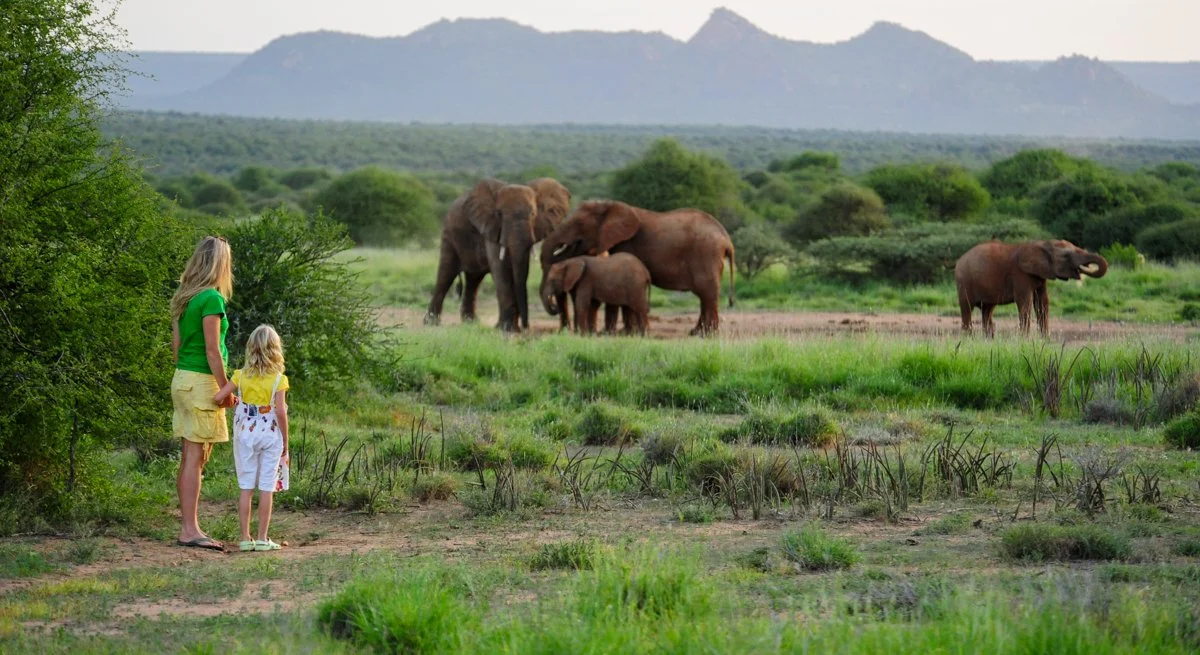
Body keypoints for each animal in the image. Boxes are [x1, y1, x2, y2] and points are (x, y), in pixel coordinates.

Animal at [425, 177, 571, 332]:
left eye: (533, 214)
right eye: (499, 214)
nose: (526, 327)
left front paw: (506, 328)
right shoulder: (492, 227)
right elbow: (501, 269)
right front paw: (507, 329)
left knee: (473, 280)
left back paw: (471, 322)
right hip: (449, 234)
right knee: (446, 275)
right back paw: (431, 323)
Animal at [539, 200, 735, 335]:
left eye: (578, 224)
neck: (610, 205)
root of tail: (726, 239)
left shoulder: (626, 243)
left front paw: (615, 333)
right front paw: (624, 333)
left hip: (705, 254)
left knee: (707, 294)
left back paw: (708, 335)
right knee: (704, 296)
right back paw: (696, 332)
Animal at [955, 239, 1108, 338]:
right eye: (1066, 256)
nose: (1082, 270)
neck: (1042, 244)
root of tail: (959, 261)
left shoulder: (1041, 274)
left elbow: (1042, 303)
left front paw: (1045, 340)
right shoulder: (1020, 273)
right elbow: (1025, 302)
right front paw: (1025, 339)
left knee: (987, 310)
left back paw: (989, 339)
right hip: (964, 281)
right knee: (967, 308)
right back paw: (968, 338)